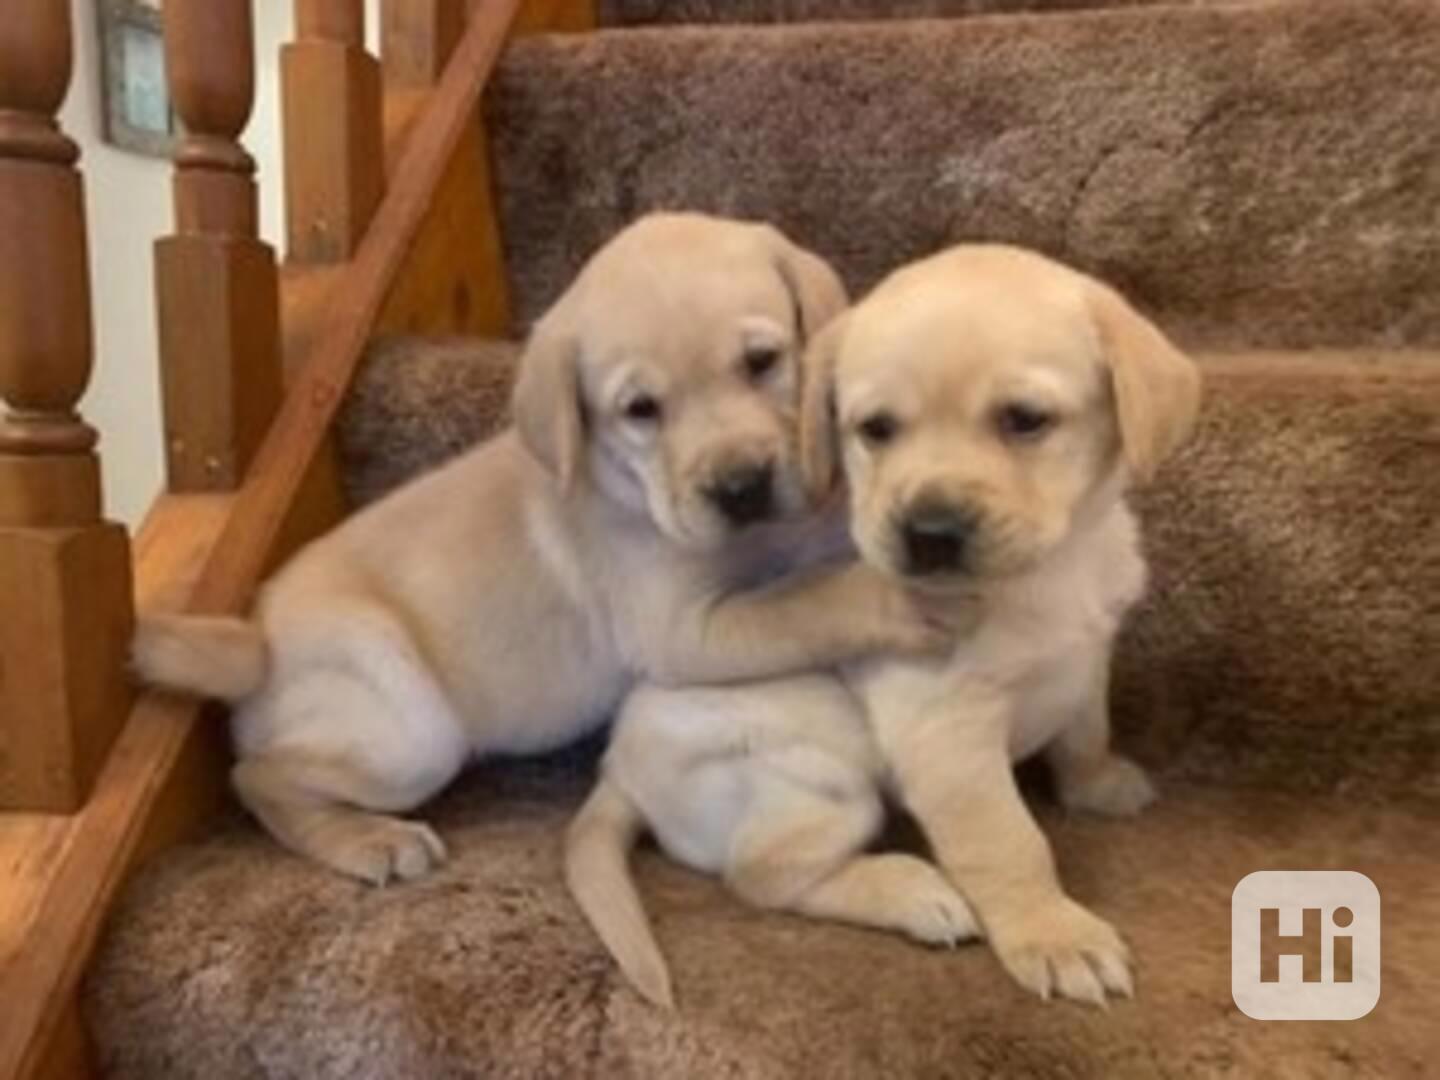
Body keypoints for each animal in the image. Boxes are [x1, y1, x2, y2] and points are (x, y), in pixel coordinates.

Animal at [132, 213, 944, 887]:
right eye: (640, 410)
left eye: (762, 360)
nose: (741, 486)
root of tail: (254, 640)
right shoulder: (683, 630)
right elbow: (810, 599)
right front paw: (903, 599)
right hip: (411, 729)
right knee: (258, 776)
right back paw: (371, 842)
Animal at [567, 249, 1198, 1013]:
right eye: (875, 429)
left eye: (1024, 420)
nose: (929, 531)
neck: (1053, 568)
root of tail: (617, 772)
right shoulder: (948, 732)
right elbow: (1009, 842)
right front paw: (1052, 934)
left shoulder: (1088, 654)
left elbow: (1085, 732)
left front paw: (1099, 785)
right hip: (822, 769)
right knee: (760, 874)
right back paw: (914, 892)